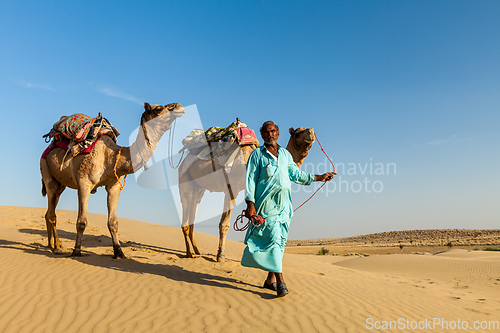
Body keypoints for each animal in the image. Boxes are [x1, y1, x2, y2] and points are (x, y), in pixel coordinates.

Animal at [40, 102, 186, 258]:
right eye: (158, 109)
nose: (179, 106)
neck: (111, 156)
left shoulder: (114, 186)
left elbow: (113, 222)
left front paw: (119, 252)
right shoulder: (84, 183)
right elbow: (81, 222)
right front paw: (77, 251)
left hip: (60, 184)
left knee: (49, 211)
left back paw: (52, 244)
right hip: (46, 171)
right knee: (52, 212)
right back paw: (57, 247)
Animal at [178, 126, 314, 260]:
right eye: (297, 133)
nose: (311, 132)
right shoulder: (231, 188)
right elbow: (224, 224)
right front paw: (220, 255)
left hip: (199, 187)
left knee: (194, 207)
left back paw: (197, 251)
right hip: (184, 178)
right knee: (186, 207)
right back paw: (189, 253)